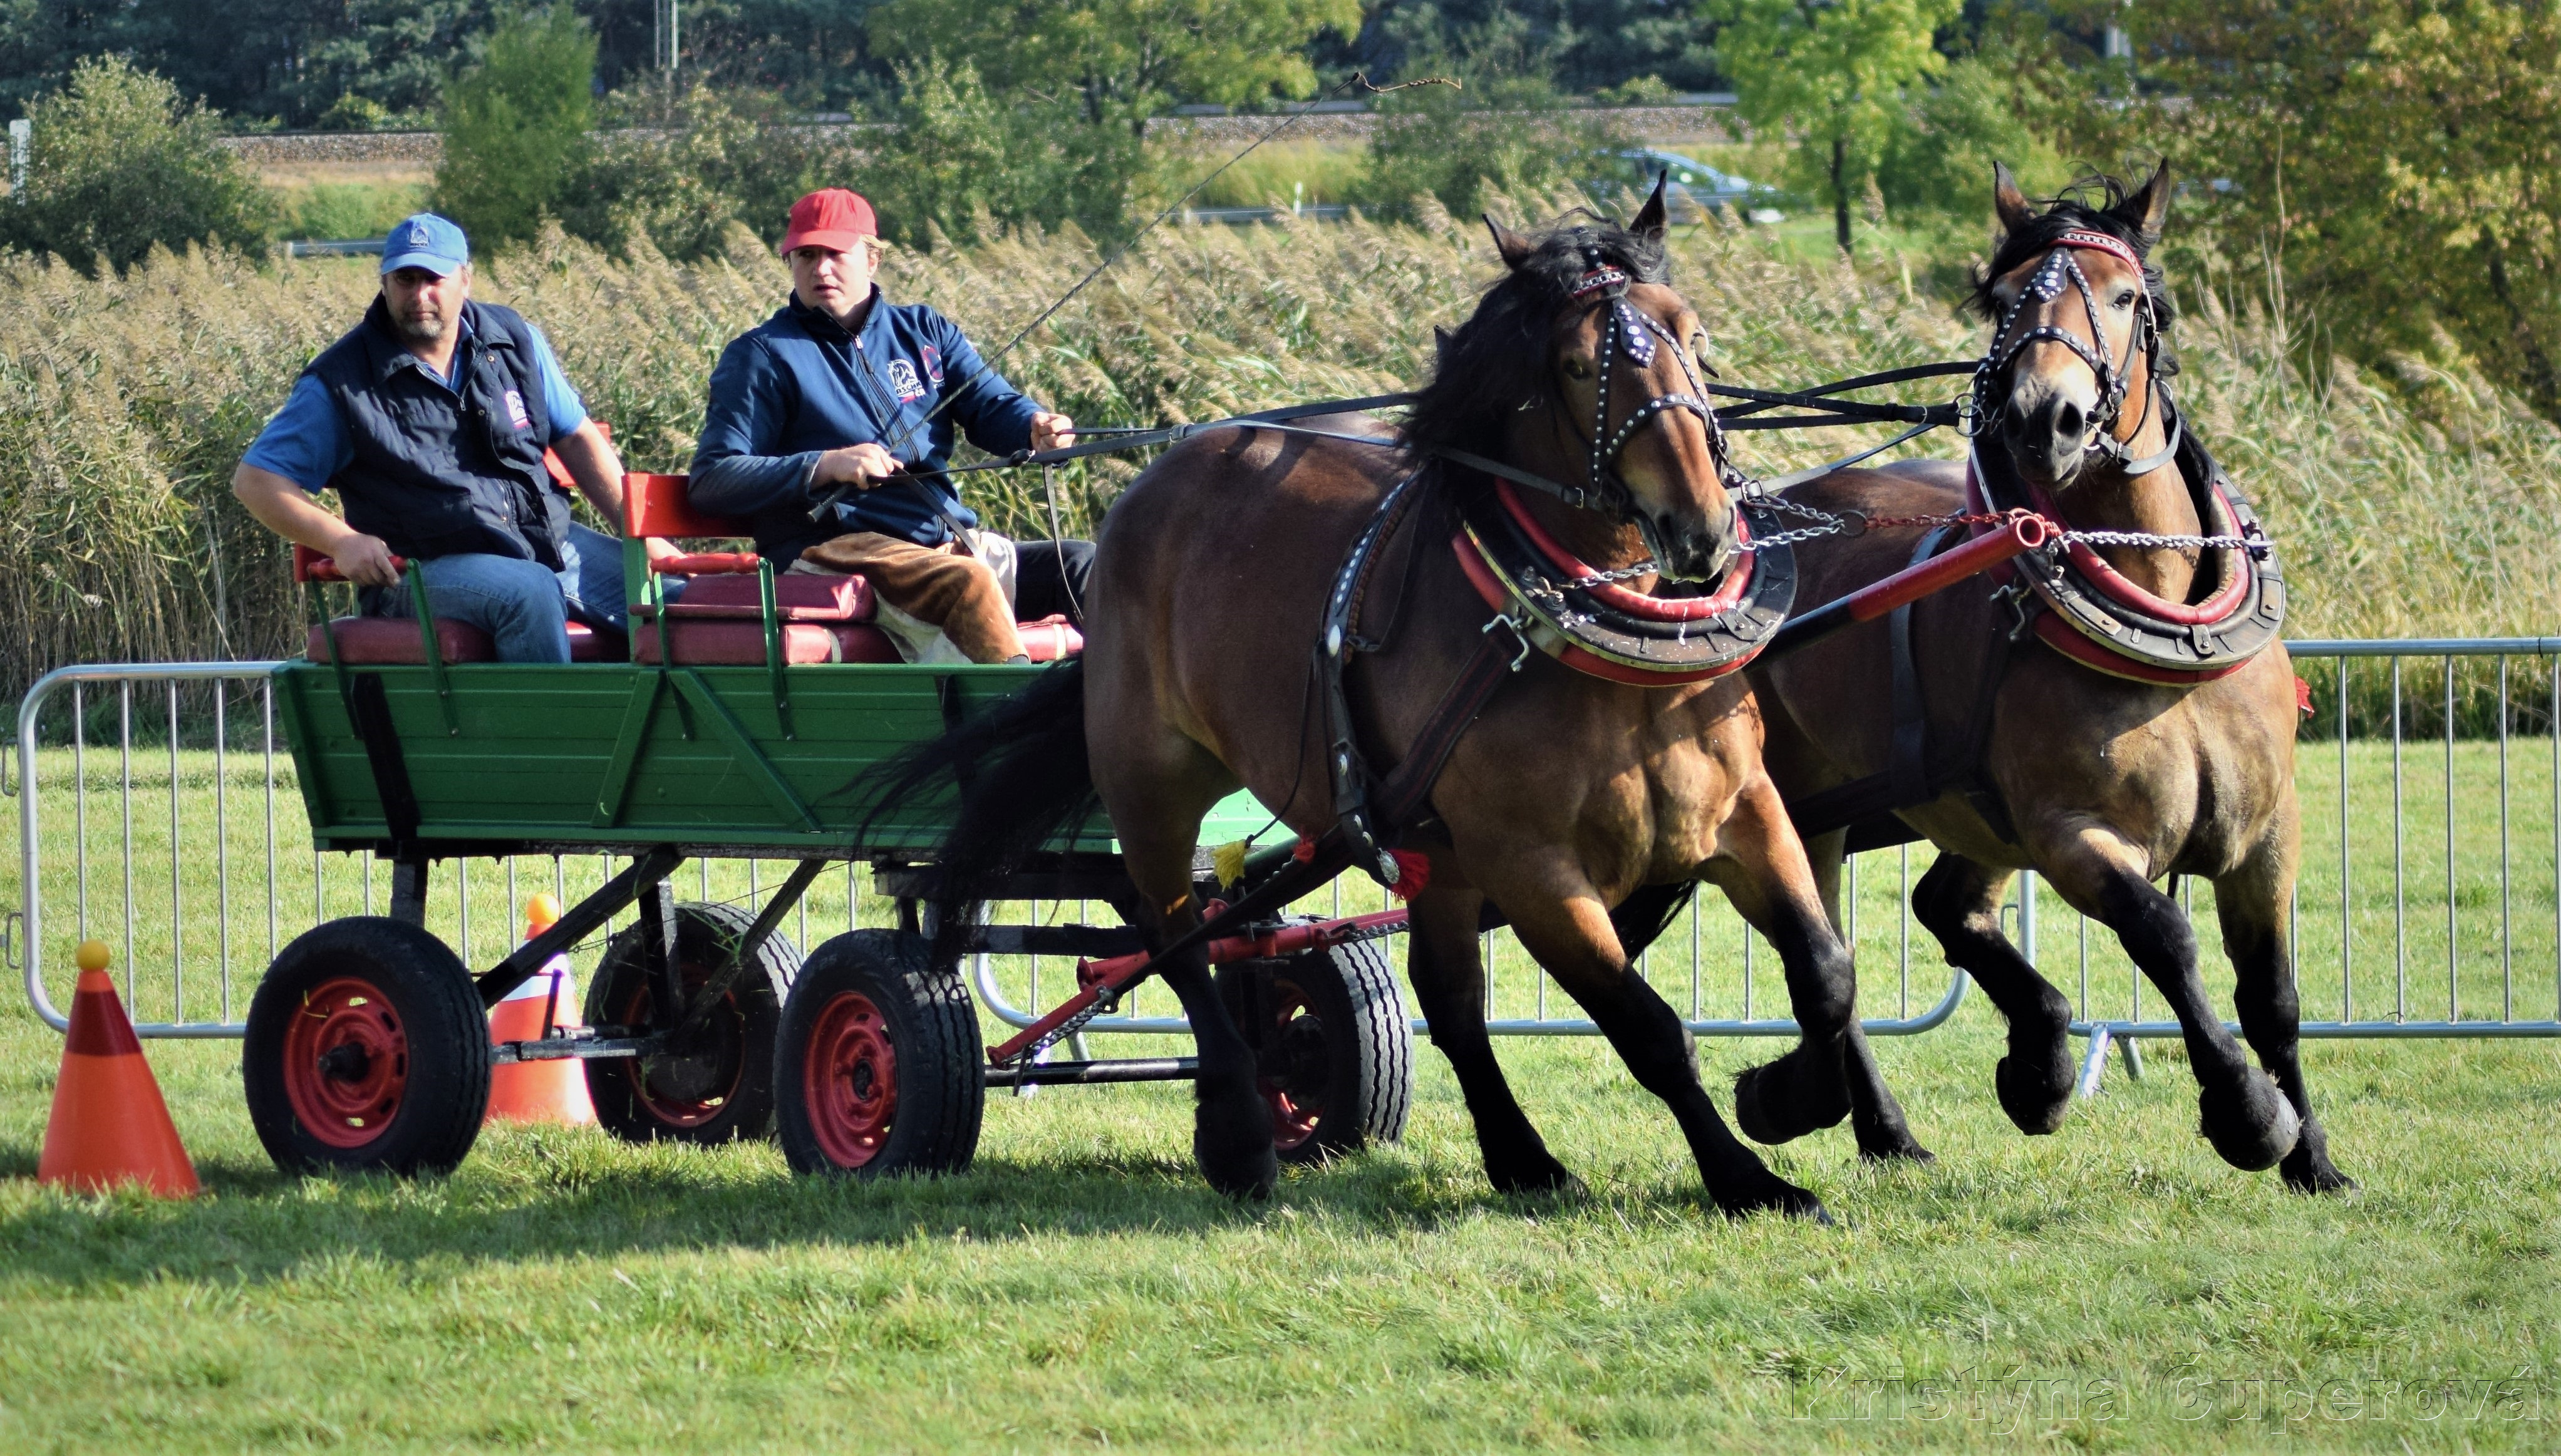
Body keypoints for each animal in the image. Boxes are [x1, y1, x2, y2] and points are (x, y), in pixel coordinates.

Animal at [876, 193, 1925, 1212]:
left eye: (1692, 334)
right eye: (1579, 364)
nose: (1699, 527)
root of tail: (1149, 485)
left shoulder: (1746, 813)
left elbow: (1827, 973)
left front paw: (1797, 1099)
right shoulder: (1535, 870)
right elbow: (1653, 1031)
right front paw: (1749, 1176)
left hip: (1431, 847)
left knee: (1435, 994)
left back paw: (1513, 1155)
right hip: (1153, 778)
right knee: (1173, 934)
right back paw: (1240, 1130)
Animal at [1751, 165, 2346, 1192]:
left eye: (2127, 297)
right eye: (2002, 302)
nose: (2045, 417)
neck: (2170, 635)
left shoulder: (2268, 833)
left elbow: (2273, 996)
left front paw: (2312, 1157)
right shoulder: (2074, 833)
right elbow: (2164, 934)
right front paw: (2246, 1113)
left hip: (1965, 805)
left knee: (1944, 906)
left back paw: (2031, 1062)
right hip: (1806, 807)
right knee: (1829, 953)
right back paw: (1876, 1118)